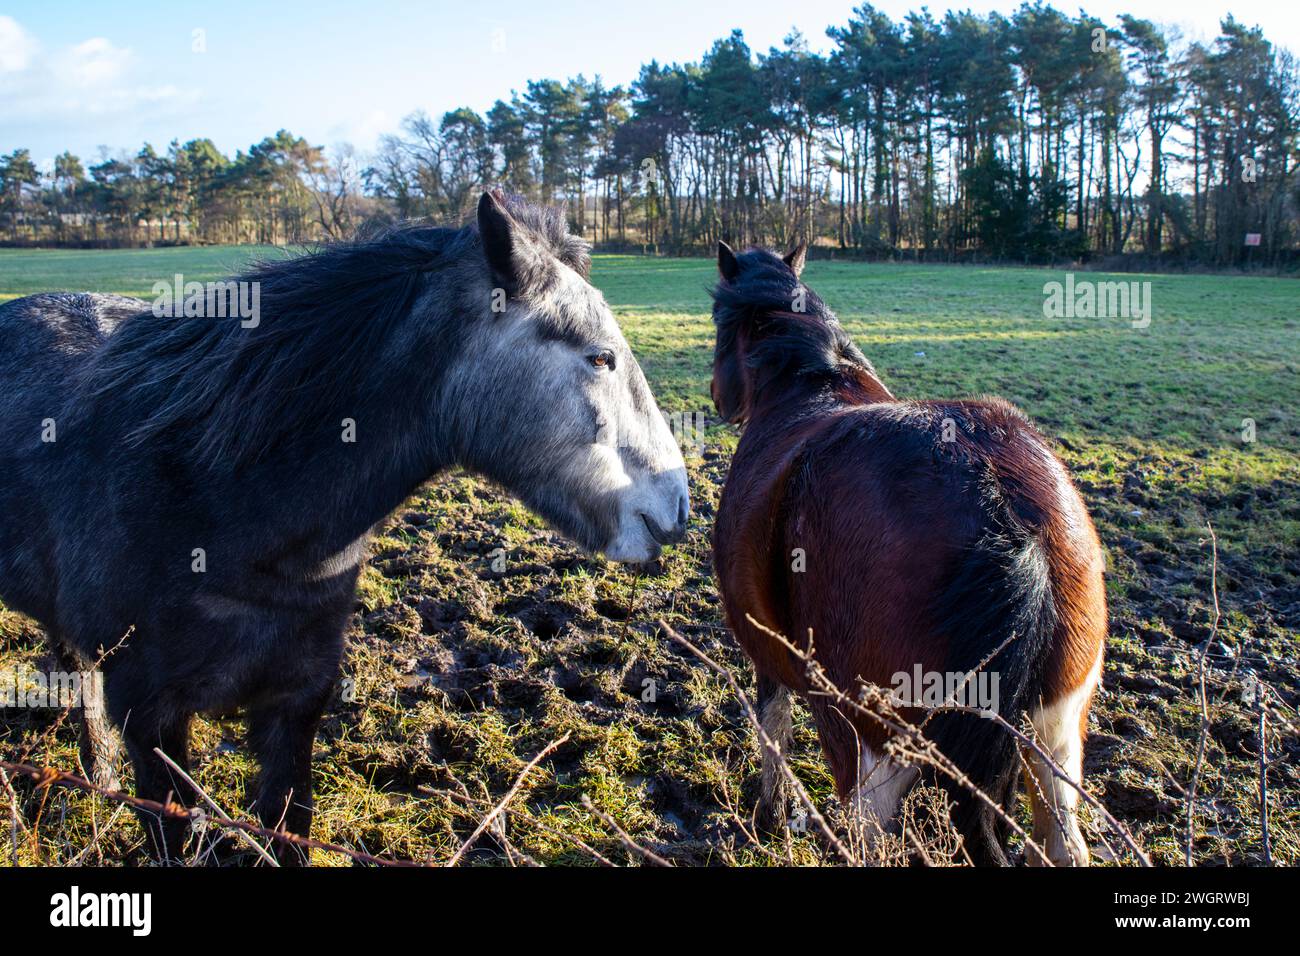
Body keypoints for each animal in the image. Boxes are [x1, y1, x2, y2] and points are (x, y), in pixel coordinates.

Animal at [712, 244, 1107, 868]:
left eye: (720, 324)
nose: (718, 397)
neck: (811, 380)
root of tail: (1005, 512)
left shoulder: (767, 653)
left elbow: (772, 730)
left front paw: (768, 817)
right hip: (1055, 734)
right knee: (1064, 841)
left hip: (869, 741)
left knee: (867, 836)